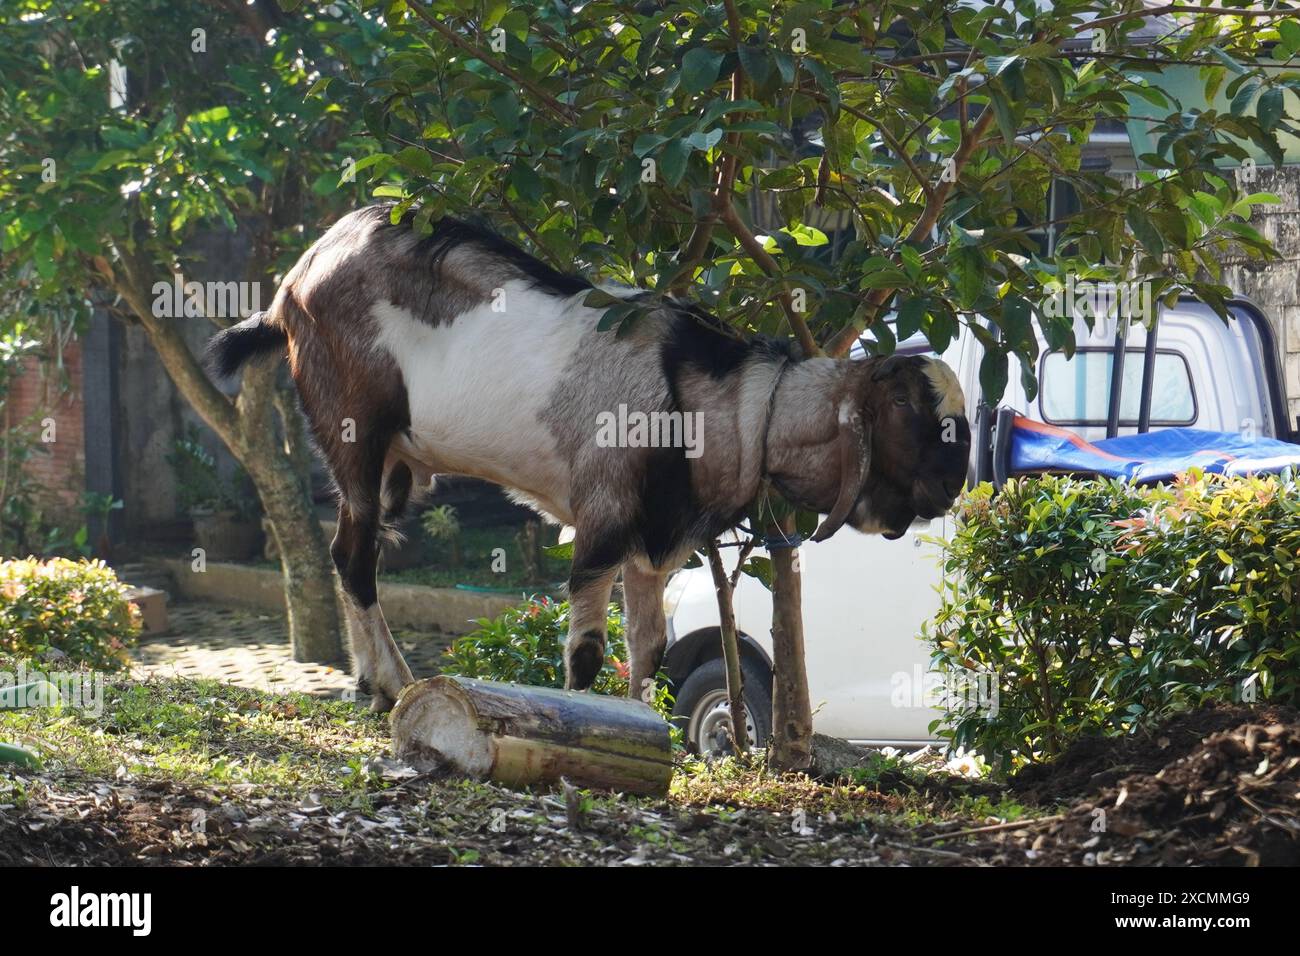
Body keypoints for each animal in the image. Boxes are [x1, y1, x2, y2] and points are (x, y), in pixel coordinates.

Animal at [208, 205, 971, 711]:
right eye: (907, 410)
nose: (952, 486)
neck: (717, 398)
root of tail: (291, 286)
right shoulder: (601, 518)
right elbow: (587, 650)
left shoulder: (652, 546)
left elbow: (649, 649)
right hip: (355, 434)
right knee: (353, 555)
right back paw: (393, 682)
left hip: (393, 464)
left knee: (354, 550)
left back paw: (373, 681)